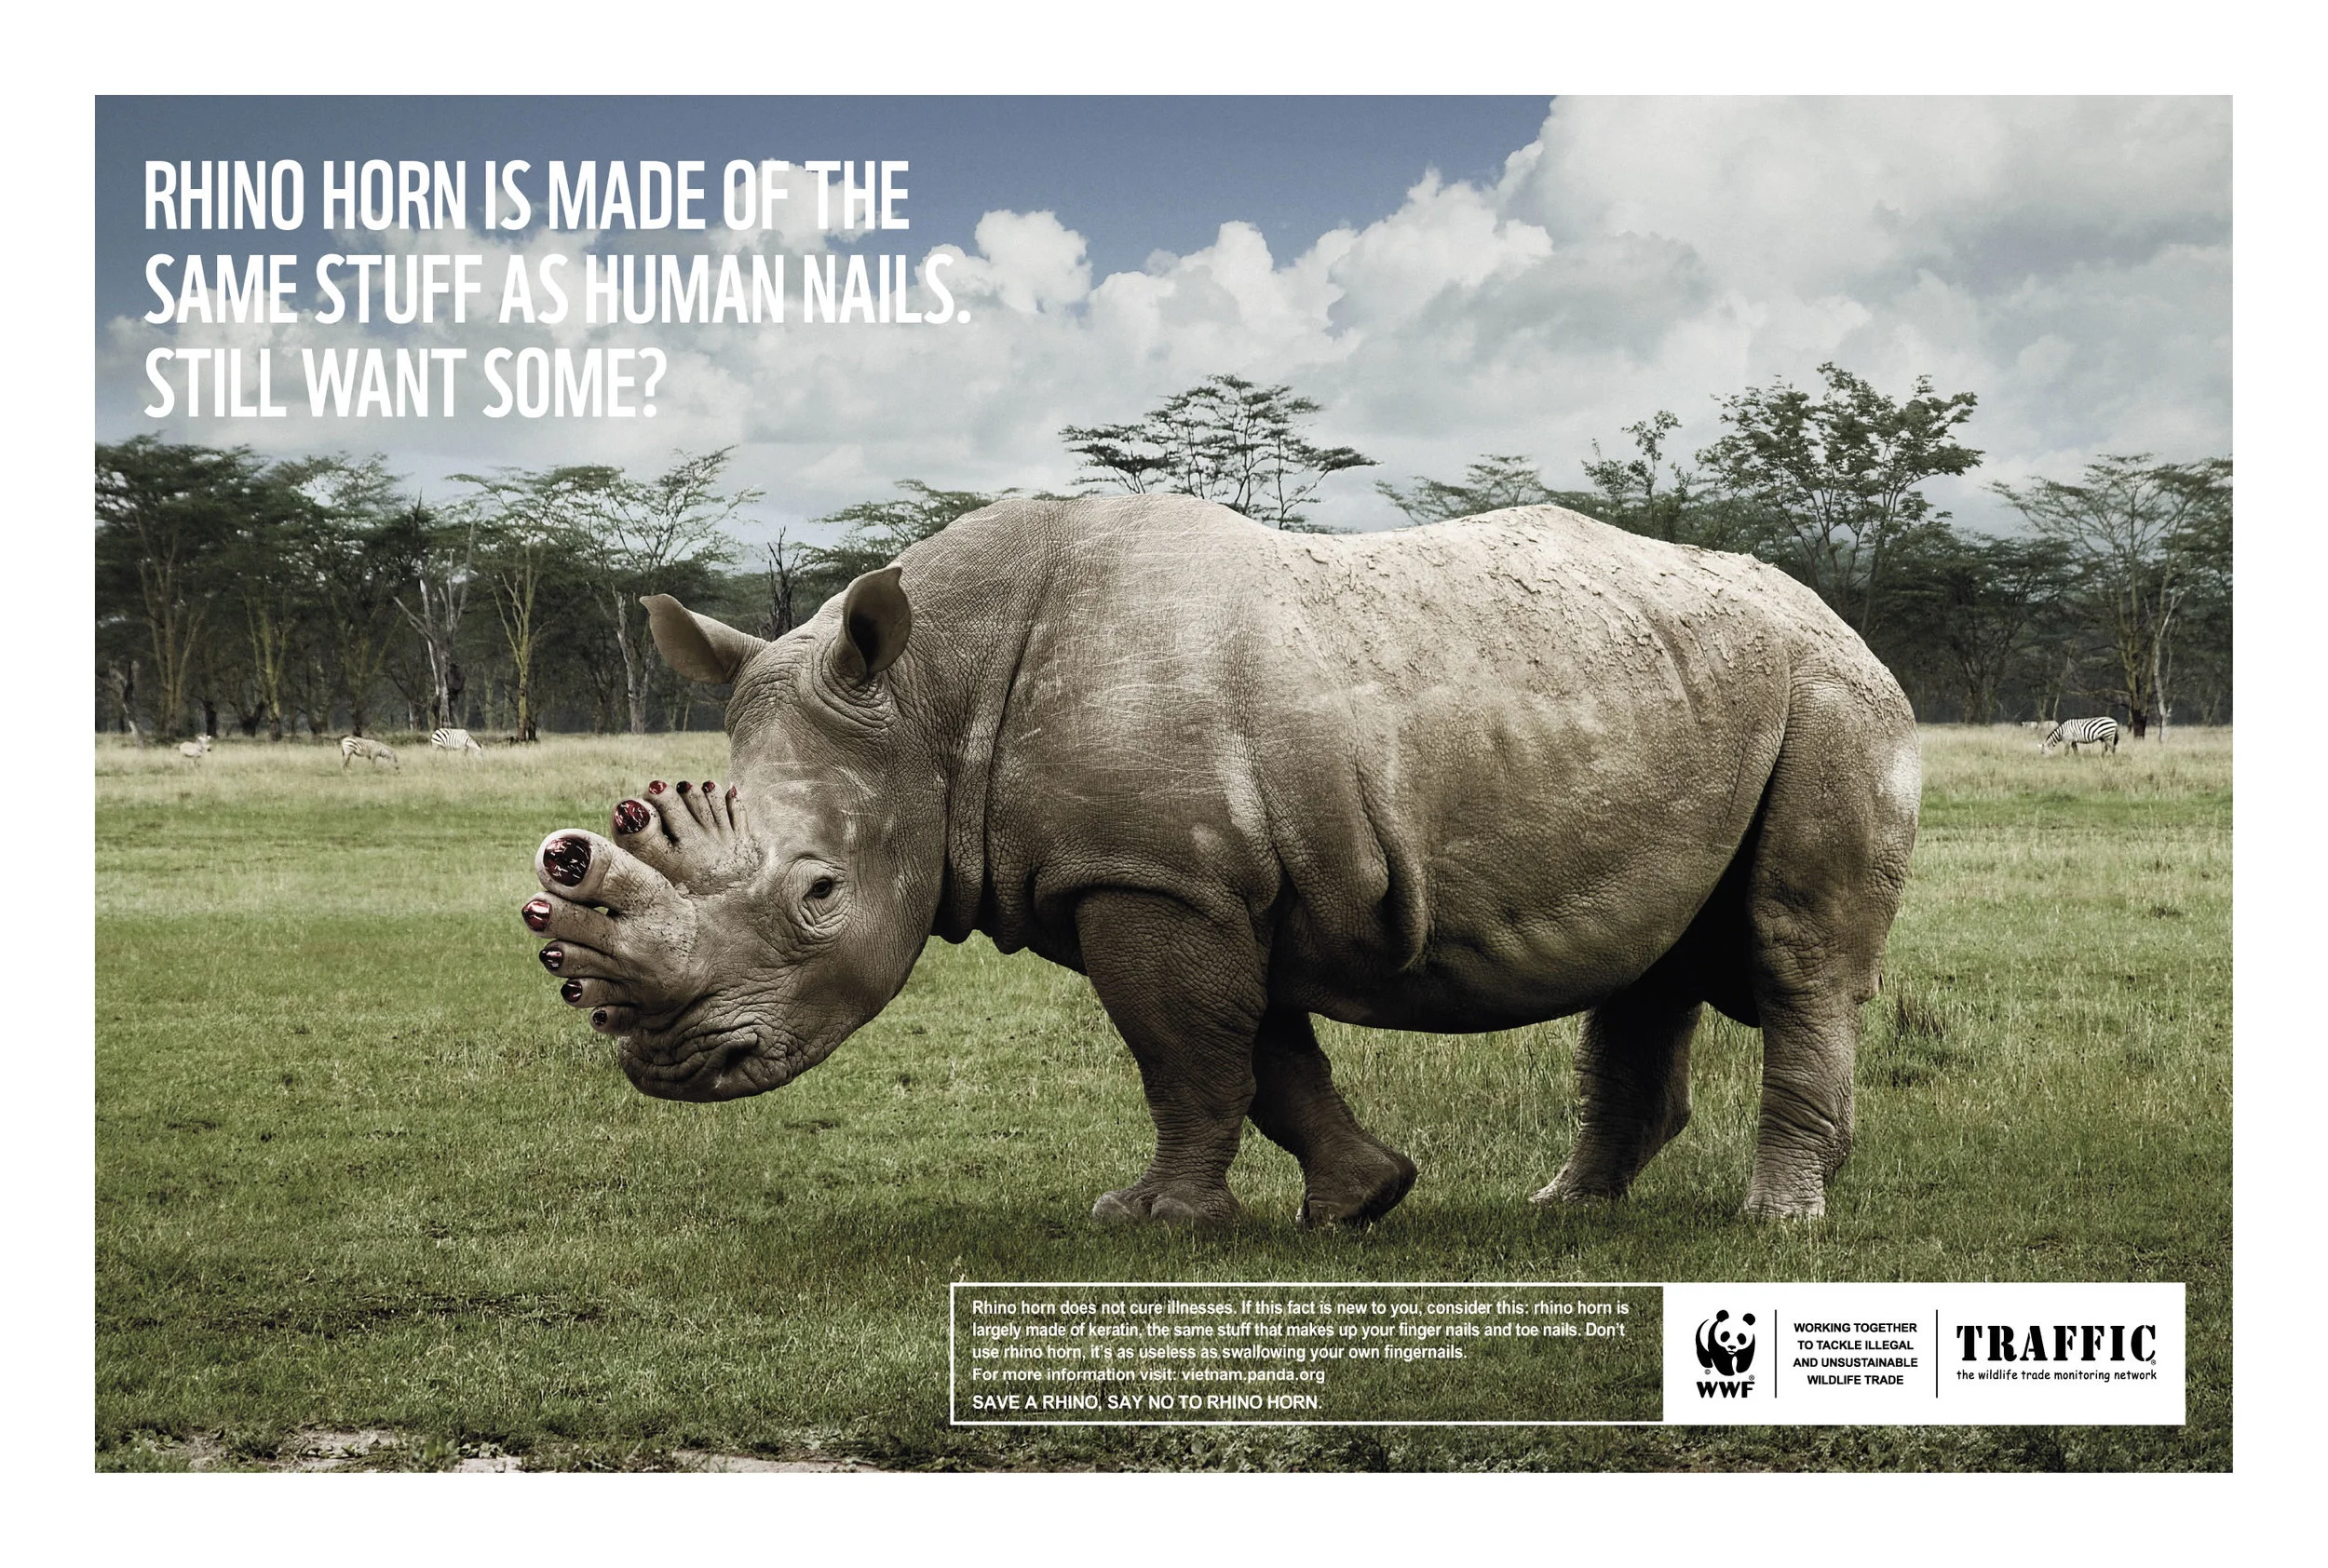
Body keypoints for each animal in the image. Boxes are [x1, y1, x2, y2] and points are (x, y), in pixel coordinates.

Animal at [522, 497, 1919, 1224]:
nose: (675, 1068)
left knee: (1795, 954)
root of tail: (1838, 615)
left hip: (1831, 701)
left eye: (818, 893)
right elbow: (1263, 1059)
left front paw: (1157, 1223)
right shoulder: (1196, 880)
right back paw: (1564, 1211)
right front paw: (1362, 1200)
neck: (927, 700)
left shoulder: (1151, 875)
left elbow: (1188, 1058)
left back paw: (1774, 1220)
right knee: (1651, 959)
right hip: (1686, 695)